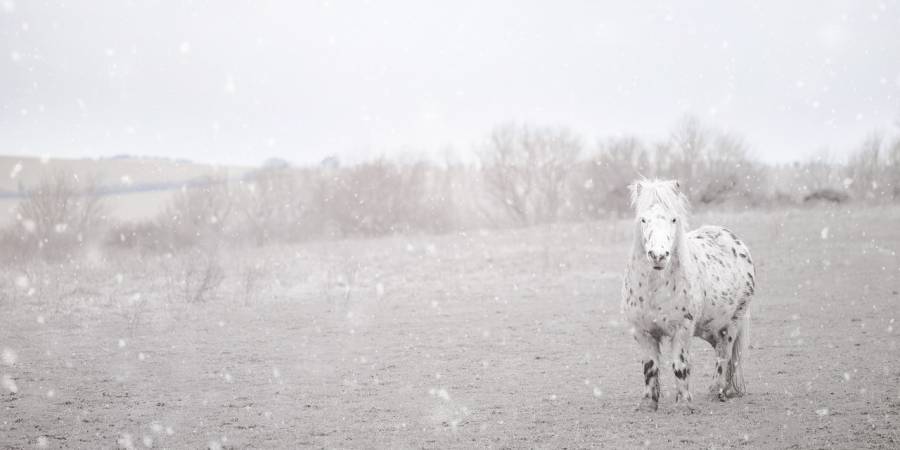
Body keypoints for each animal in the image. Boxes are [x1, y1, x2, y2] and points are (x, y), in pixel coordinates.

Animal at [620, 179, 752, 412]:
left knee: (724, 354)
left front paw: (683, 404)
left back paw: (716, 392)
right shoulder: (642, 331)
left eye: (673, 219)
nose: (658, 256)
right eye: (643, 219)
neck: (655, 289)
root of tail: (733, 239)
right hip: (709, 328)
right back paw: (725, 390)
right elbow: (650, 367)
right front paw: (648, 404)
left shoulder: (682, 329)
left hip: (732, 323)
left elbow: (680, 366)